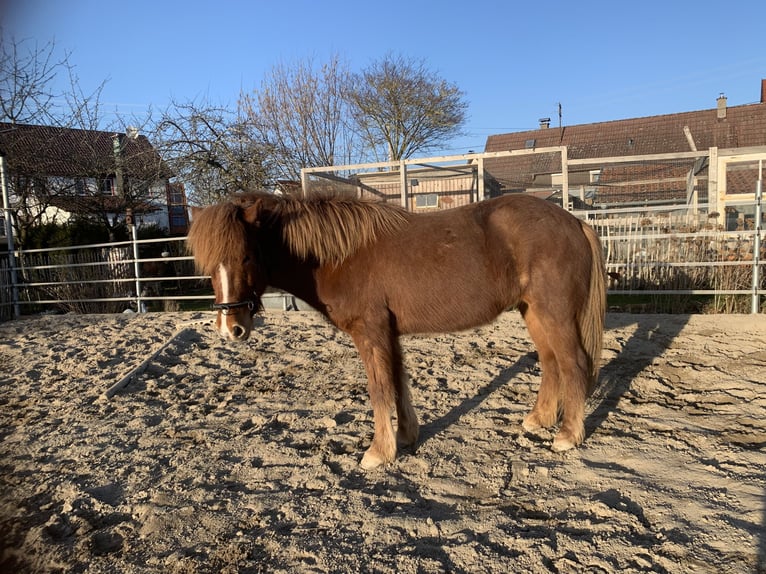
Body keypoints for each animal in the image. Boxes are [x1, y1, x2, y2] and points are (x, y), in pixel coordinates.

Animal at [187, 190, 606, 470]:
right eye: (205, 263)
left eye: (246, 256)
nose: (230, 328)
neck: (341, 255)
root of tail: (575, 222)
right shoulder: (389, 334)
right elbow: (398, 384)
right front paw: (405, 437)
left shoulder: (370, 332)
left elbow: (379, 389)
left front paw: (378, 452)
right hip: (533, 312)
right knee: (551, 362)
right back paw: (539, 419)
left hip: (554, 313)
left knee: (573, 363)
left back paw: (567, 436)